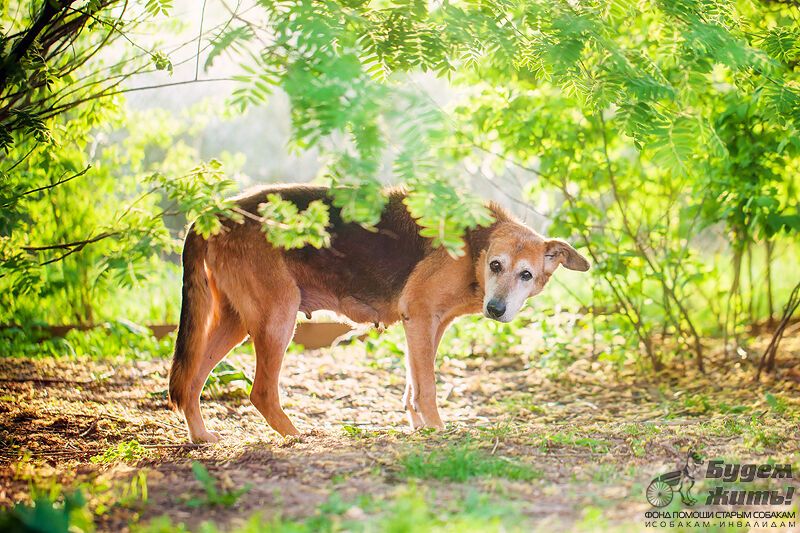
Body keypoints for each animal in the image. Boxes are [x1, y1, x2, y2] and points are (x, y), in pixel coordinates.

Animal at [169, 185, 592, 442]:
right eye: (496, 265)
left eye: (526, 275)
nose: (496, 309)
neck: (473, 246)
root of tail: (212, 214)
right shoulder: (419, 316)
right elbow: (427, 387)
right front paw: (437, 430)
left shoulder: (429, 326)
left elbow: (413, 385)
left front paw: (420, 427)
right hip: (277, 320)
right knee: (260, 393)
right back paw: (296, 435)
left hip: (235, 322)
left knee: (188, 381)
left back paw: (201, 436)